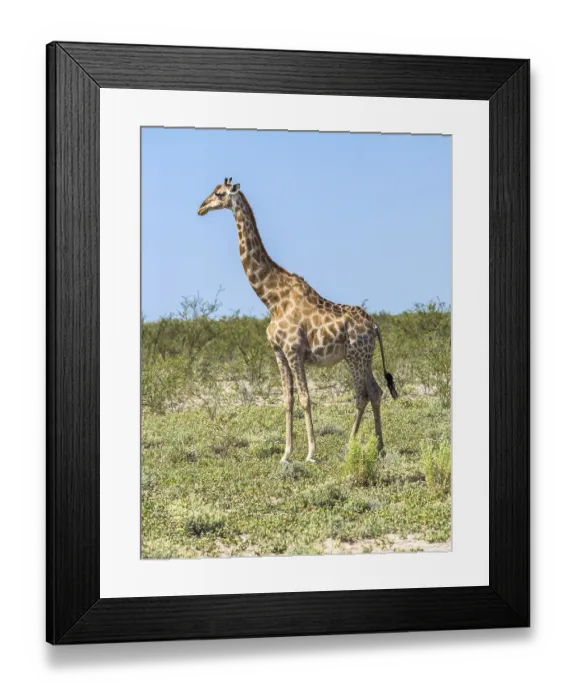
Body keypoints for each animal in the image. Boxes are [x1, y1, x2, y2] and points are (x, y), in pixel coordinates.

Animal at [198, 178, 398, 463]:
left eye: (219, 193)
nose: (201, 207)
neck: (272, 299)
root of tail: (375, 326)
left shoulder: (294, 351)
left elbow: (305, 398)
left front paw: (311, 453)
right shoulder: (279, 353)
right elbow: (287, 400)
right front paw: (286, 453)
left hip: (355, 356)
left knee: (361, 395)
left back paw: (349, 448)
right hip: (363, 357)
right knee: (375, 391)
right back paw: (379, 448)